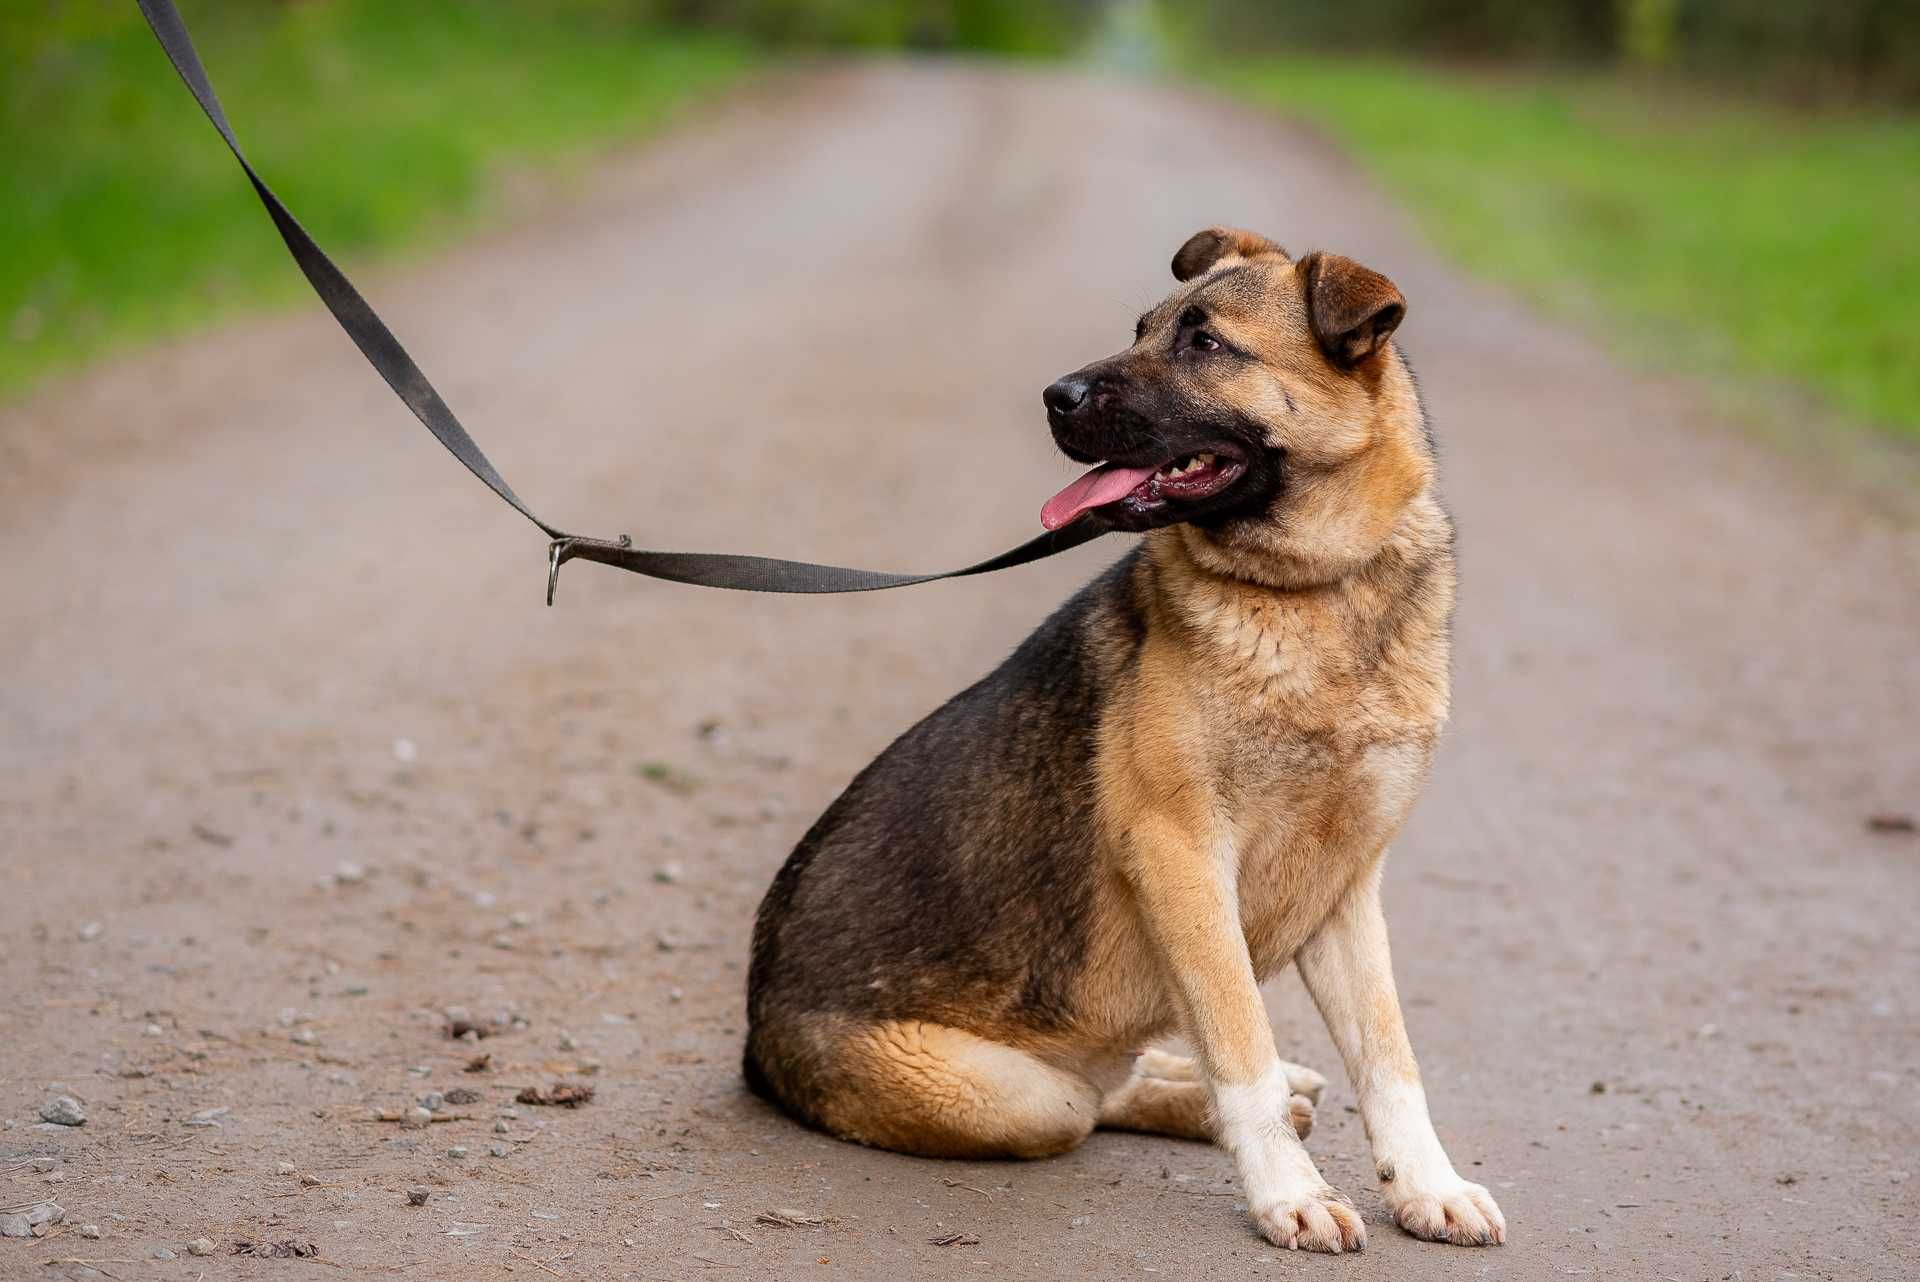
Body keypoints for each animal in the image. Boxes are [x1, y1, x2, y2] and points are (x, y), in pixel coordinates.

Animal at [741, 230, 1505, 1251]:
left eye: (1205, 343)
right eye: (1139, 330)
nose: (1053, 397)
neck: (1315, 591)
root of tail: (754, 1040)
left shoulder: (1347, 889)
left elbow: (1389, 1057)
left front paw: (1428, 1184)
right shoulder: (1182, 855)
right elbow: (1241, 1042)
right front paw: (1290, 1192)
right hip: (1018, 1096)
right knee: (1091, 1097)